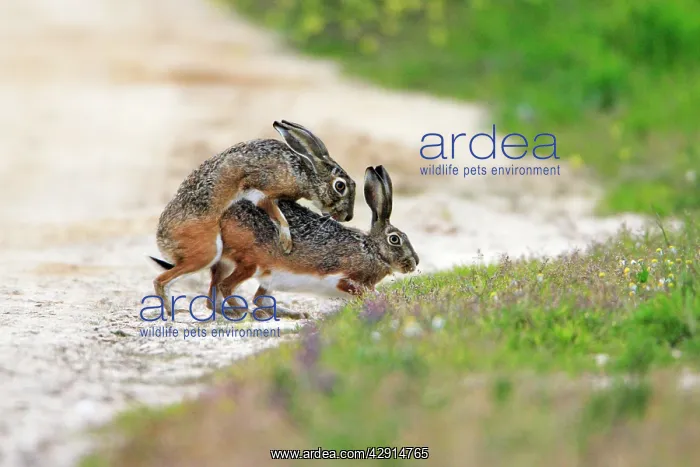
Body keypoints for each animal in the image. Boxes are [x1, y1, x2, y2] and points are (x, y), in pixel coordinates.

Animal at [152, 120, 356, 315]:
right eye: (340, 186)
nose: (348, 217)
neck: (306, 175)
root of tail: (163, 242)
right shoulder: (262, 188)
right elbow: (277, 214)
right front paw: (286, 242)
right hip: (207, 251)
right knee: (161, 280)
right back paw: (172, 311)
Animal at [199, 165, 419, 319]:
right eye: (395, 239)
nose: (414, 263)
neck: (373, 250)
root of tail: (221, 220)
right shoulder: (345, 278)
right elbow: (363, 291)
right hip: (251, 263)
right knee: (227, 287)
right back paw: (240, 312)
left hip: (260, 274)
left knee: (243, 298)